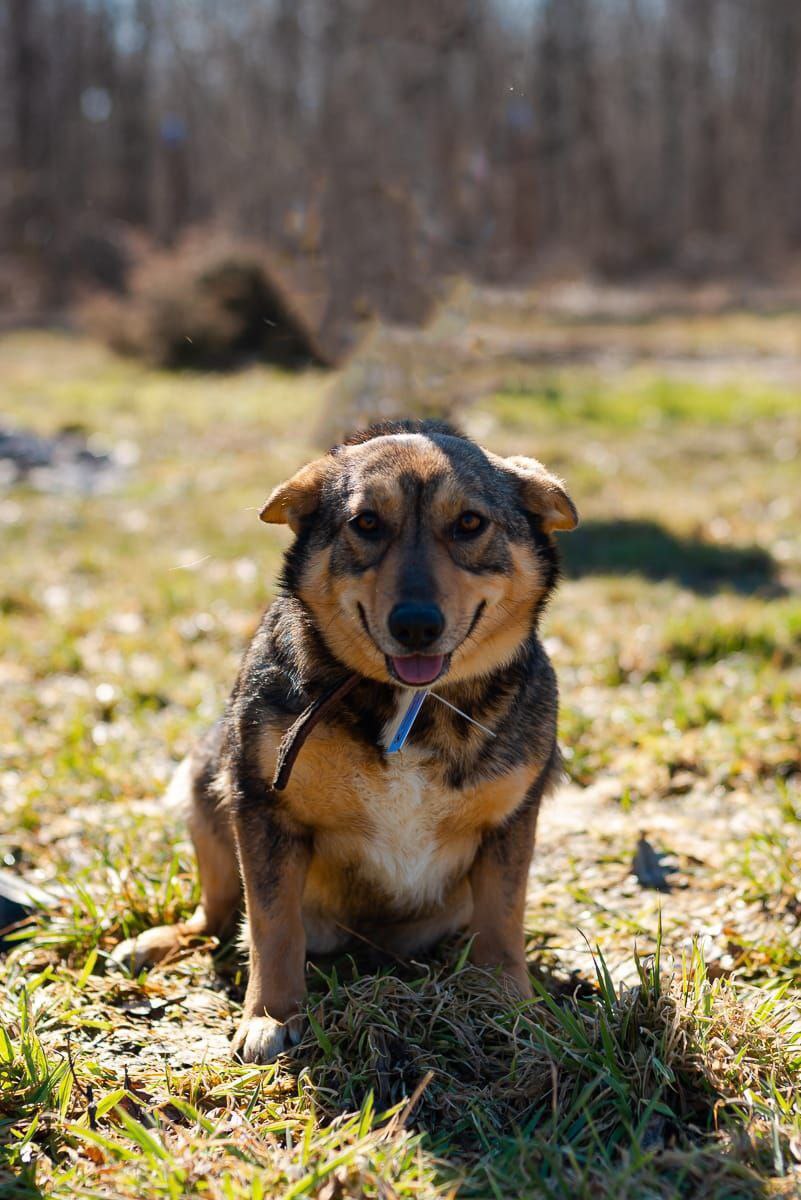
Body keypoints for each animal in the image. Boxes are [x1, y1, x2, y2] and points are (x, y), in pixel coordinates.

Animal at [113, 420, 575, 1060]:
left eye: (469, 523)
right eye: (367, 523)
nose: (415, 625)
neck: (409, 707)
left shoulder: (511, 820)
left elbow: (503, 918)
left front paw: (508, 1000)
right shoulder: (263, 808)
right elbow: (272, 925)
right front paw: (272, 1015)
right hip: (203, 787)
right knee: (217, 918)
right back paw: (159, 941)